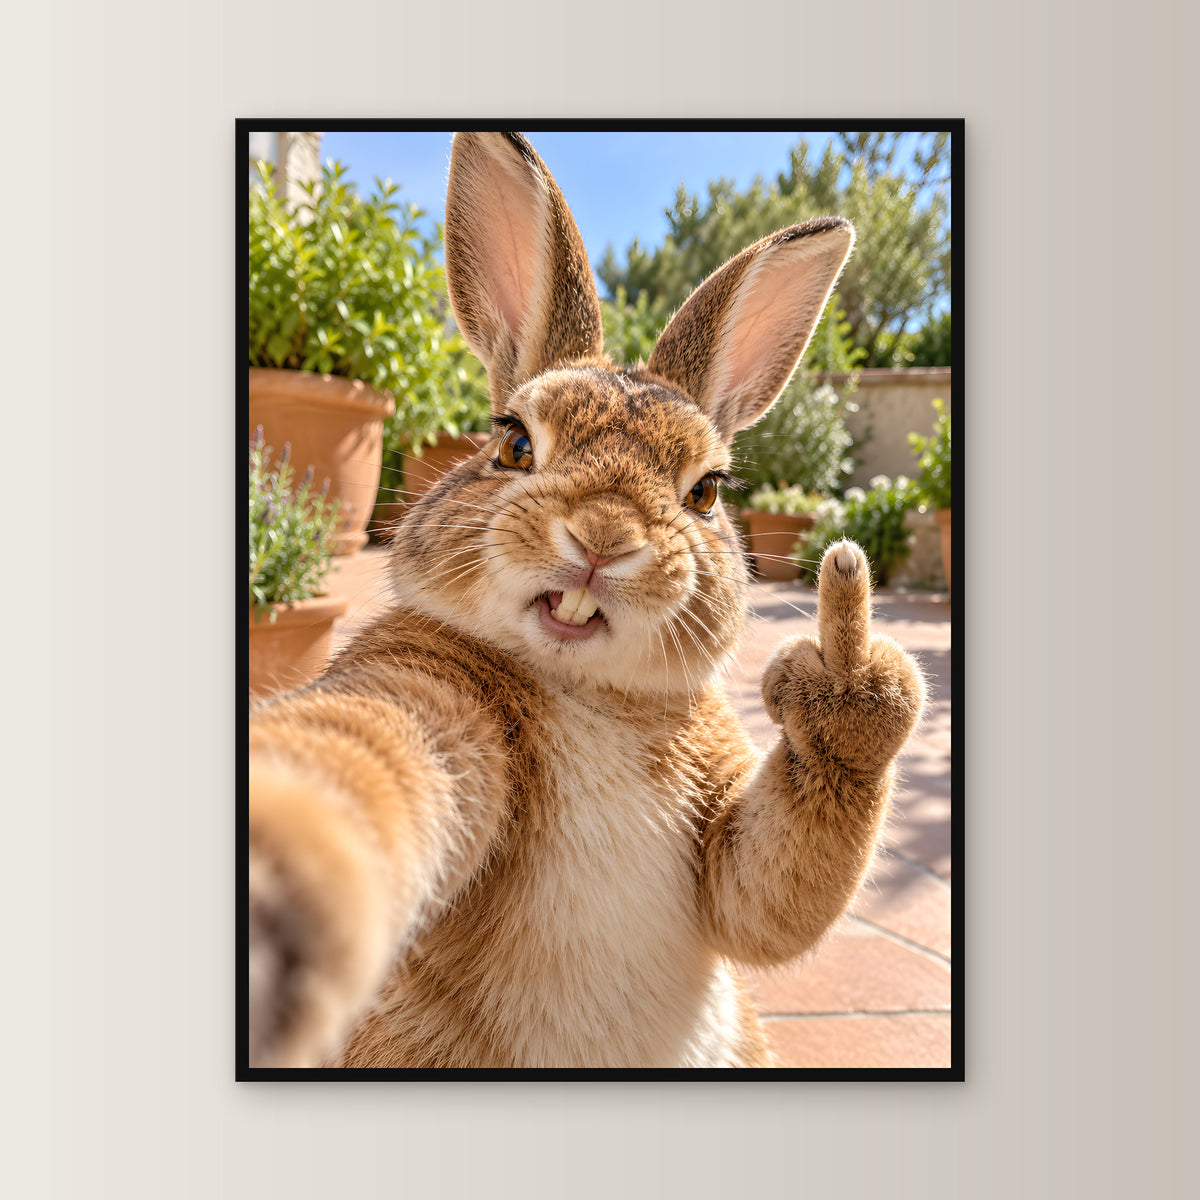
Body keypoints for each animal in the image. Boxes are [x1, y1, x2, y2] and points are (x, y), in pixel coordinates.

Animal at [247, 131, 926, 1070]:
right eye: (512, 443)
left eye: (706, 492)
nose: (603, 537)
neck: (587, 694)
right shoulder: (426, 693)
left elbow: (769, 900)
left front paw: (847, 683)